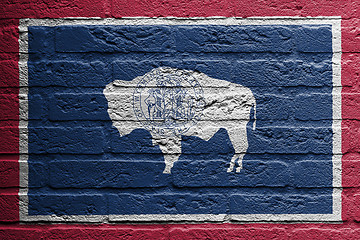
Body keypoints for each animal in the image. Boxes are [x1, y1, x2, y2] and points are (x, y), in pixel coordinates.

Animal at [103, 66, 256, 173]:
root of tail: (250, 94)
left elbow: (171, 153)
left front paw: (167, 170)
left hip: (236, 128)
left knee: (241, 147)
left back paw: (233, 168)